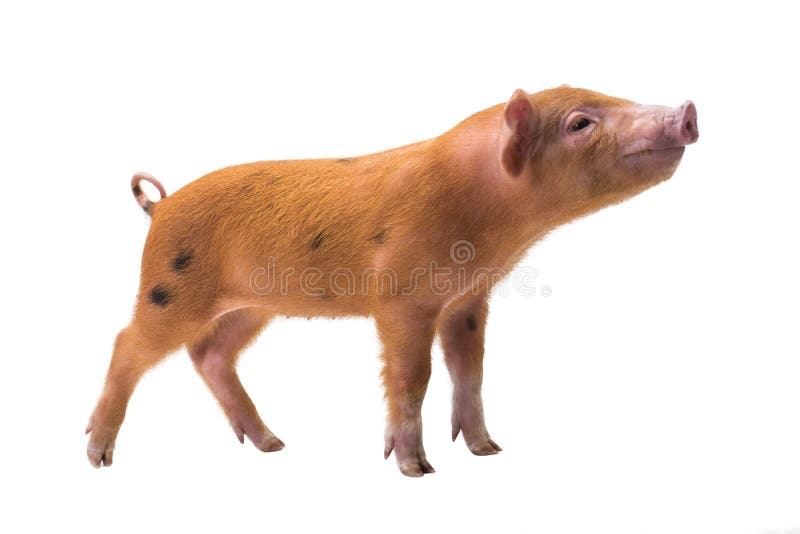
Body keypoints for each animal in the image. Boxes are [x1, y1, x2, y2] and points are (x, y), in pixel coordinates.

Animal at [86, 85, 698, 476]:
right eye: (579, 123)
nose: (688, 110)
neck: (488, 211)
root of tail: (160, 208)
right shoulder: (402, 296)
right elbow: (413, 376)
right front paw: (418, 469)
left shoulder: (468, 299)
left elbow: (471, 371)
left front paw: (490, 451)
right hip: (168, 288)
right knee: (127, 345)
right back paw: (98, 456)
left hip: (252, 306)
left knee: (210, 353)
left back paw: (274, 445)